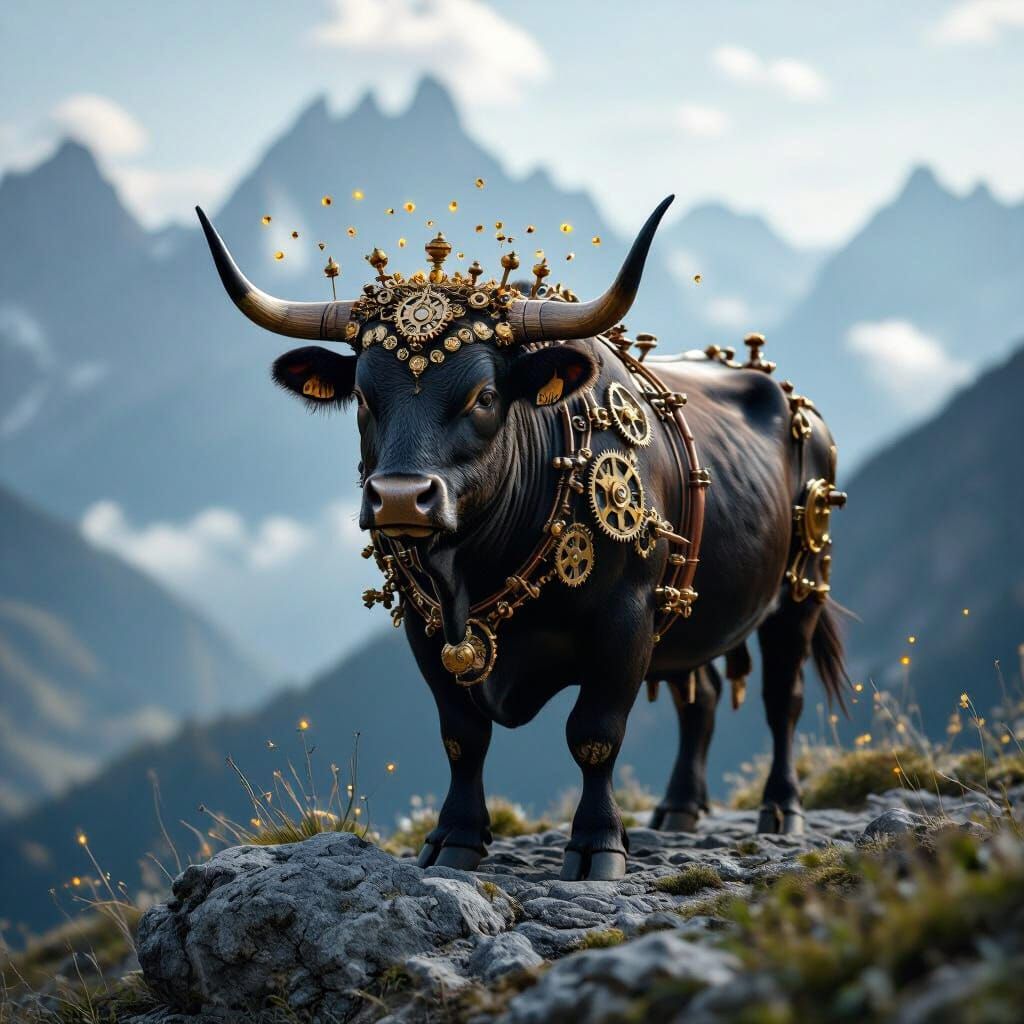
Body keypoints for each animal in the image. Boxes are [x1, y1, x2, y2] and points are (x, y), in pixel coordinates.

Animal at [197, 195, 847, 881]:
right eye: (366, 398)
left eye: (483, 396)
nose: (400, 497)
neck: (476, 564)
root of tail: (781, 388)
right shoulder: (426, 628)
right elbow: (462, 734)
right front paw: (454, 837)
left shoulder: (626, 619)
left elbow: (595, 733)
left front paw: (596, 846)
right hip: (691, 607)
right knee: (701, 695)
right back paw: (678, 809)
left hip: (800, 590)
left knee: (782, 696)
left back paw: (780, 809)